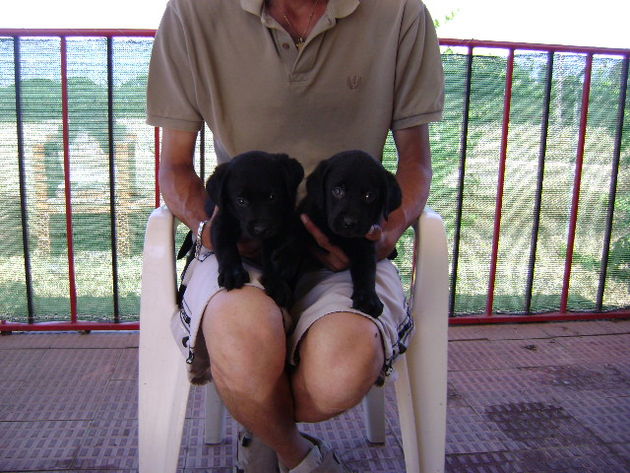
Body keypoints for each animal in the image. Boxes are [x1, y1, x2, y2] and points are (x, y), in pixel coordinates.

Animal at [206, 149, 304, 308]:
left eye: (272, 197)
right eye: (241, 201)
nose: (260, 229)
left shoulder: (286, 222)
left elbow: (284, 249)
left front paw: (278, 283)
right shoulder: (222, 221)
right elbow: (225, 247)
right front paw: (232, 273)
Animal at [298, 149, 402, 316]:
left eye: (369, 196)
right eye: (337, 191)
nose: (349, 223)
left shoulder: (364, 243)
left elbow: (366, 270)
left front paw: (368, 299)